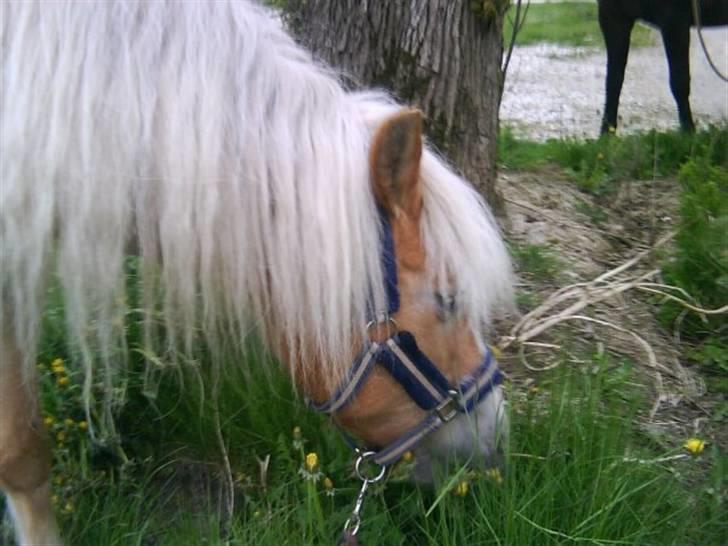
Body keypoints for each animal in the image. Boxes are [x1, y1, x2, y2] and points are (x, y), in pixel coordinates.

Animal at [596, 0, 728, 133]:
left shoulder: (674, 21)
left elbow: (679, 82)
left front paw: (688, 131)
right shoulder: (612, 15)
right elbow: (613, 80)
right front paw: (606, 131)